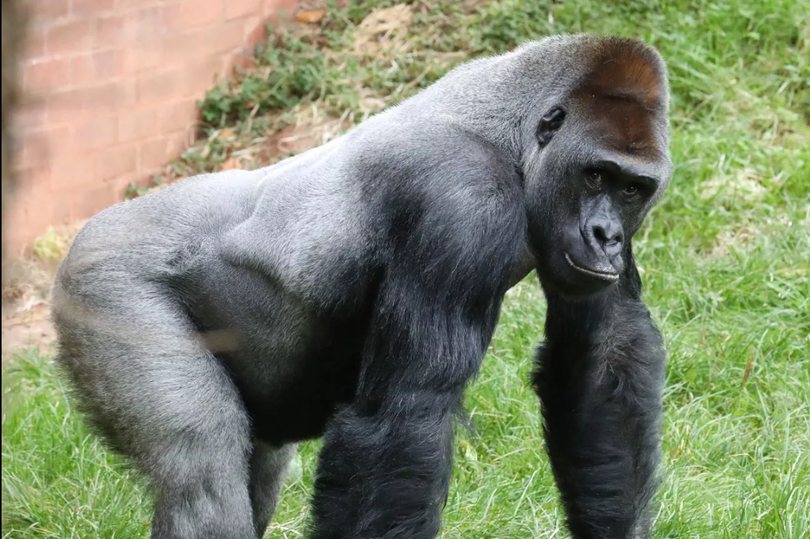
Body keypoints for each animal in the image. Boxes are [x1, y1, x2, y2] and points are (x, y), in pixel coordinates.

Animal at [49, 34, 668, 539]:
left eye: (632, 189)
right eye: (594, 174)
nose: (607, 236)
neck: (514, 138)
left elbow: (603, 364)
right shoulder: (463, 198)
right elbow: (403, 415)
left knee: (259, 469)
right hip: (101, 284)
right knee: (200, 470)